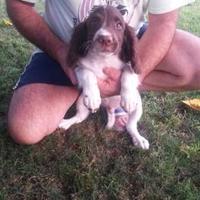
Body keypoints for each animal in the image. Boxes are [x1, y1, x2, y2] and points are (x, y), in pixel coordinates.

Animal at [58, 5, 149, 150]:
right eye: (94, 22)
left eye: (119, 25)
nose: (105, 39)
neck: (103, 59)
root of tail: (109, 107)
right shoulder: (79, 67)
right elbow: (88, 73)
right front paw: (93, 97)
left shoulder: (130, 67)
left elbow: (128, 73)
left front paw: (128, 98)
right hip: (81, 103)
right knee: (79, 118)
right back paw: (66, 123)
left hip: (138, 107)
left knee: (130, 126)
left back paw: (139, 139)